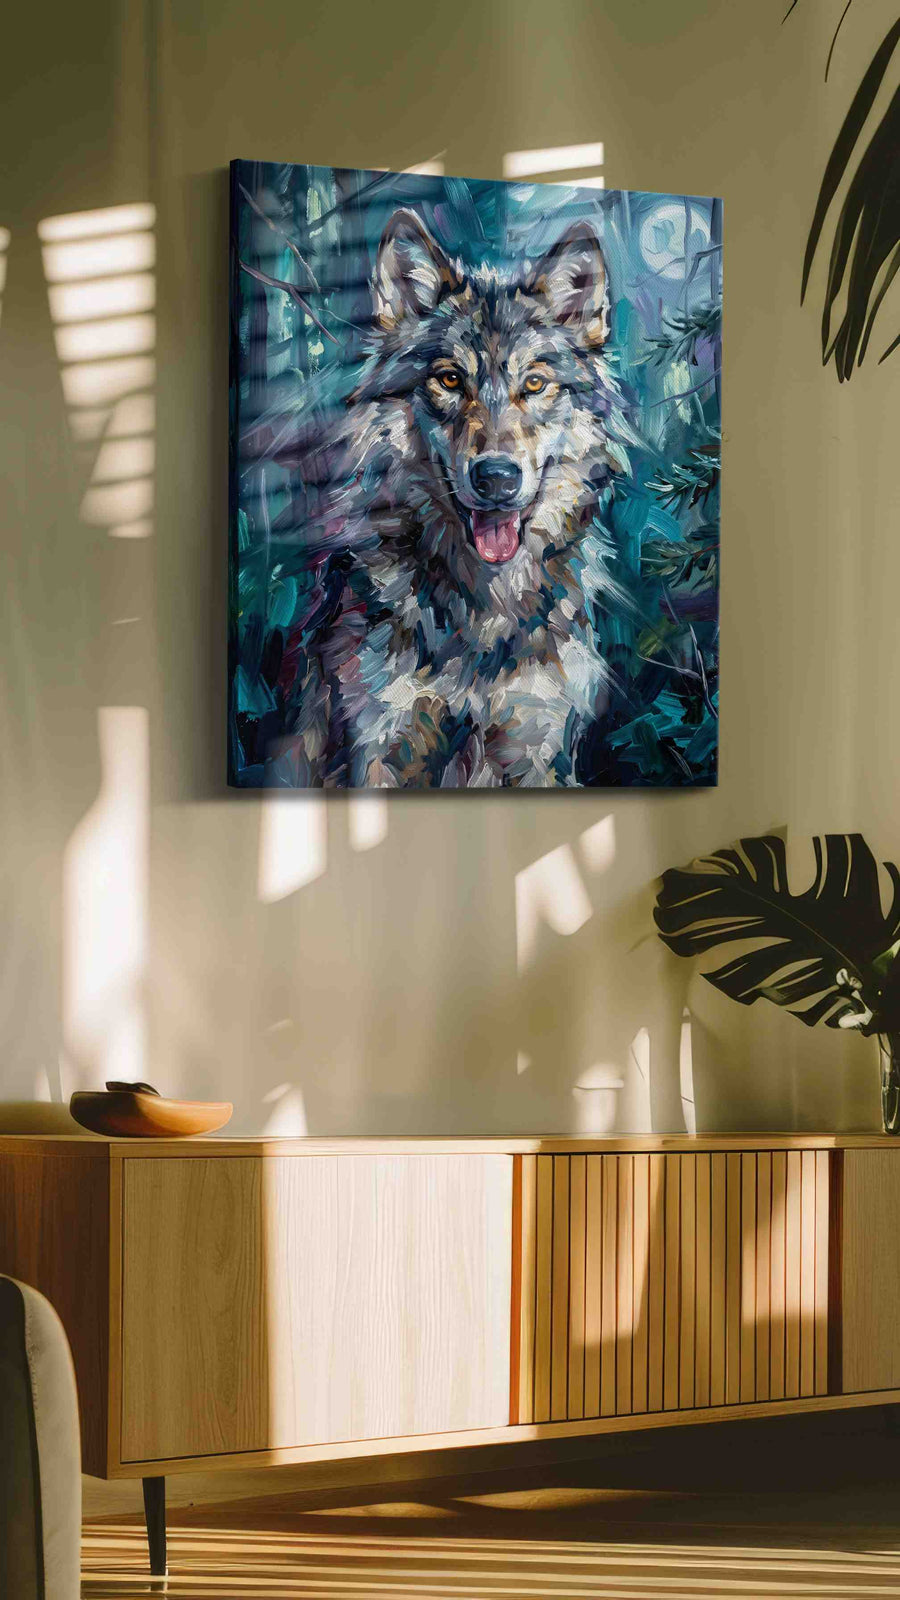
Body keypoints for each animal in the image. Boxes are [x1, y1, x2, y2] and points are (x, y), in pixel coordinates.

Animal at [271, 208, 636, 788]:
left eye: (535, 384)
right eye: (448, 379)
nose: (496, 478)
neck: (484, 609)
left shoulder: (536, 752)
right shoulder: (375, 751)